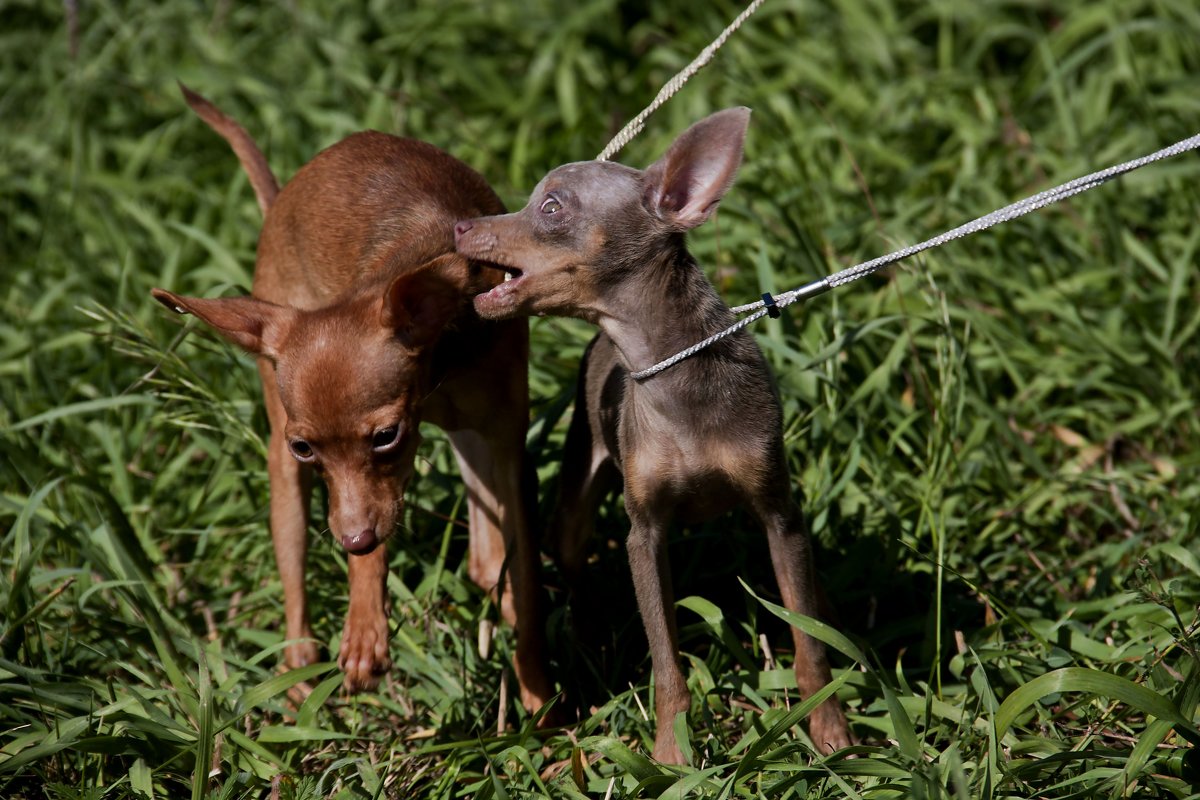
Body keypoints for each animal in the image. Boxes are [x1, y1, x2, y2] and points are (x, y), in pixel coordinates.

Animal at [152, 87, 554, 714]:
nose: (351, 541)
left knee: (488, 561)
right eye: (306, 448)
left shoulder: (508, 448)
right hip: (281, 467)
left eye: (386, 436)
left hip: (470, 445)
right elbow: (373, 542)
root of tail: (283, 196)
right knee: (295, 574)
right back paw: (297, 667)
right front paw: (365, 627)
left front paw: (537, 691)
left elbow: (528, 583)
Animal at [451, 107, 854, 762]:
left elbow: (808, 639)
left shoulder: (779, 516)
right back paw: (589, 637)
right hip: (578, 493)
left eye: (551, 207)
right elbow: (666, 660)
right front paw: (672, 755)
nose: (460, 226)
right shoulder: (646, 535)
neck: (669, 371)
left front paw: (830, 730)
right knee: (573, 556)